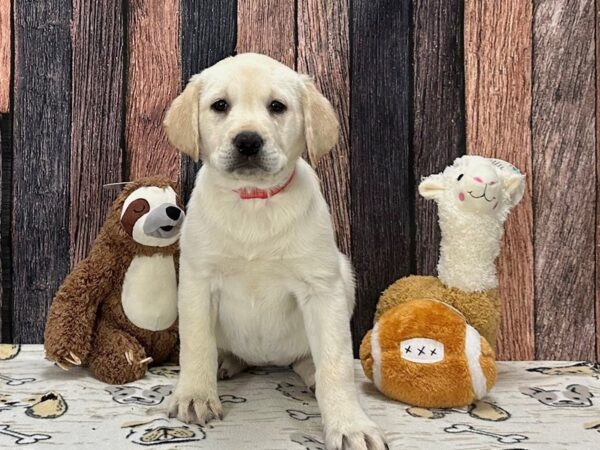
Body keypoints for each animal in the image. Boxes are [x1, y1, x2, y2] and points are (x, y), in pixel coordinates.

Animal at [163, 53, 384, 450]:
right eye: (220, 106)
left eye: (277, 107)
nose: (248, 141)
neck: (253, 201)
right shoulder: (197, 282)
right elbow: (196, 345)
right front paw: (195, 395)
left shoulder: (322, 288)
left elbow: (336, 363)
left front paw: (349, 424)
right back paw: (226, 363)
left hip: (344, 279)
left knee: (307, 358)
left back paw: (309, 372)